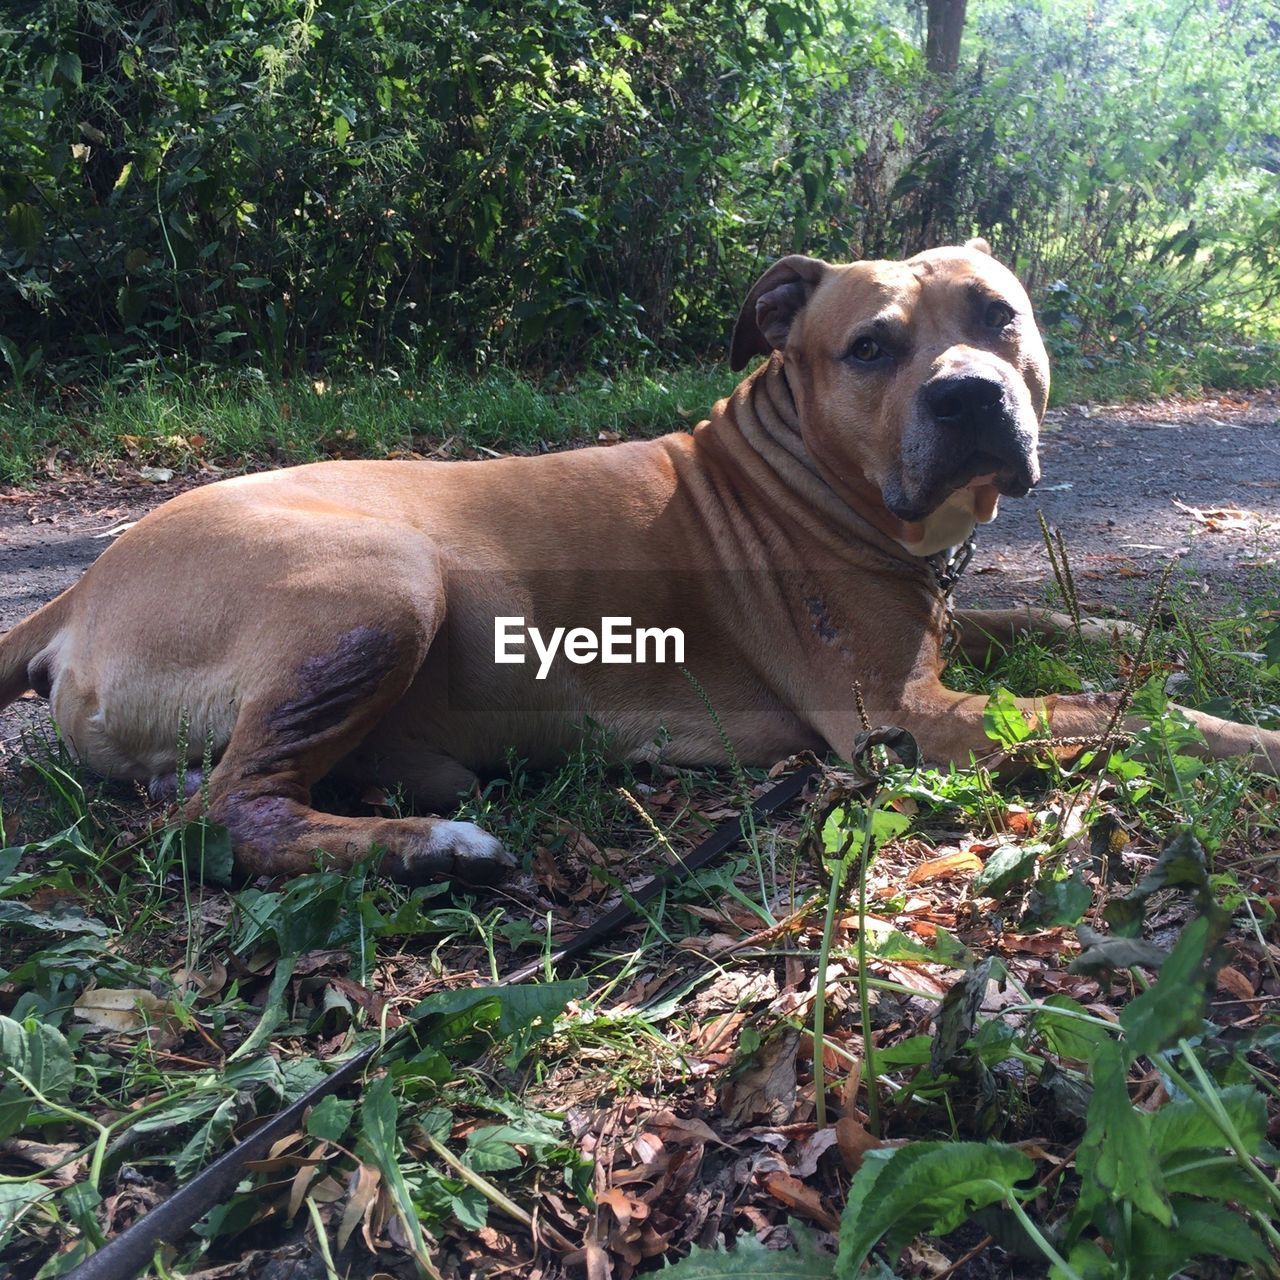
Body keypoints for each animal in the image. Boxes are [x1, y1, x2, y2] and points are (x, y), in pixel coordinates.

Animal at [2, 241, 1280, 880]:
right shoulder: (903, 717)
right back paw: (435, 851)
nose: (968, 393)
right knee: (232, 811)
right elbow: (1108, 711)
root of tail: (74, 588)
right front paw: (1239, 733)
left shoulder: (939, 627)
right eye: (868, 347)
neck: (803, 468)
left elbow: (1044, 626)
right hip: (377, 583)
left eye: (997, 313)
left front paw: (1144, 632)